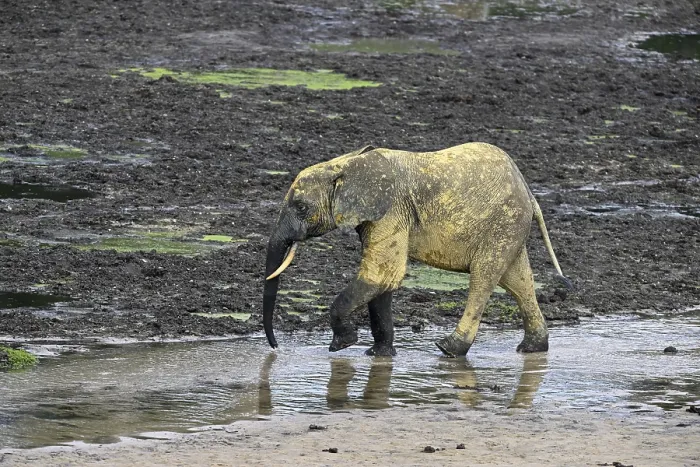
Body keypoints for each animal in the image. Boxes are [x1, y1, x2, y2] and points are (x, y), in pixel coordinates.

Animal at [262, 142, 570, 357]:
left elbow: (379, 273)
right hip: (509, 227)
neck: (347, 164)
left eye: (301, 208)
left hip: (503, 224)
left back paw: (448, 350)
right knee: (519, 281)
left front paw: (341, 345)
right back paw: (531, 349)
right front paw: (378, 355)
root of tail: (528, 191)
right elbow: (383, 279)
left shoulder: (392, 210)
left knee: (483, 279)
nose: (275, 349)